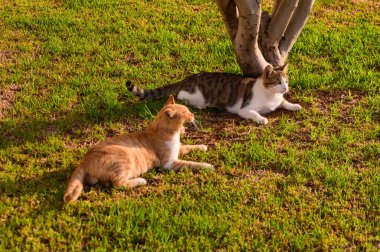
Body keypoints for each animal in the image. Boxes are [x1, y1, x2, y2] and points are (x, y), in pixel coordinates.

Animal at [63, 94, 212, 203]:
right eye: (186, 112)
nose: (193, 115)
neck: (172, 135)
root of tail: (85, 159)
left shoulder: (178, 149)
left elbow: (188, 146)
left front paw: (203, 146)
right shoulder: (169, 164)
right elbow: (192, 164)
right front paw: (208, 165)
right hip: (124, 161)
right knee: (118, 184)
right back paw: (141, 181)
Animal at [126, 64, 302, 125]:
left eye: (286, 81)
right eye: (278, 82)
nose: (285, 88)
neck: (271, 96)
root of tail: (187, 78)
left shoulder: (279, 100)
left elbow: (284, 102)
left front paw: (294, 105)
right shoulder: (244, 109)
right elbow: (254, 113)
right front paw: (262, 119)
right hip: (196, 94)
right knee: (182, 95)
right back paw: (201, 105)